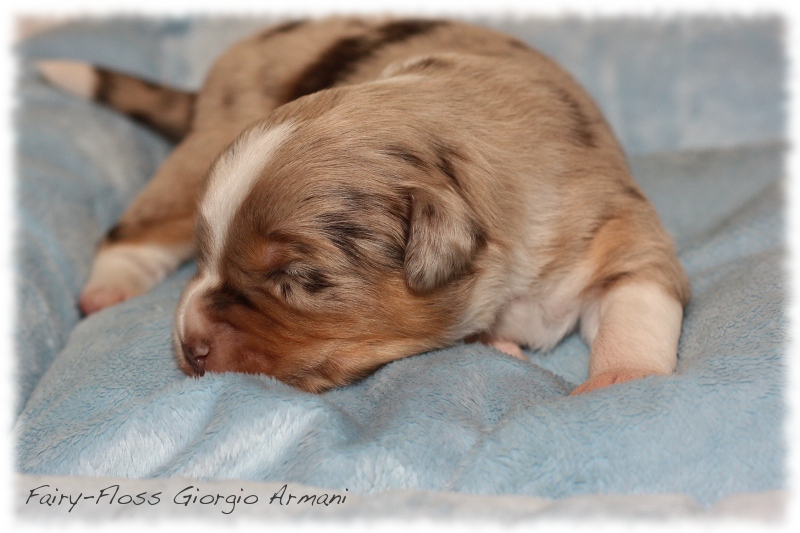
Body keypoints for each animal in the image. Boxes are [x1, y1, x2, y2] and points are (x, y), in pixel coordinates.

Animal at [39, 16, 688, 392]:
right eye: (205, 260)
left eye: (300, 278)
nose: (188, 347)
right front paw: (498, 344)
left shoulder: (619, 229)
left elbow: (638, 300)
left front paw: (620, 377)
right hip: (202, 147)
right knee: (138, 227)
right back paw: (109, 287)